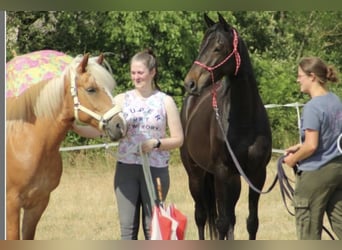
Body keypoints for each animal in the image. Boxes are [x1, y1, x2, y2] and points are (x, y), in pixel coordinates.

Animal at [6, 52, 127, 240]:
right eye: (91, 89)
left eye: (110, 88)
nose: (120, 126)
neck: (25, 139)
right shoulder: (11, 204)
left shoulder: (38, 203)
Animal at [180, 12, 272, 239]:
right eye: (201, 46)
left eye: (218, 47)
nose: (190, 83)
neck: (245, 120)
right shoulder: (224, 172)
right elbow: (221, 223)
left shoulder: (257, 174)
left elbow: (251, 222)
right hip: (196, 175)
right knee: (202, 216)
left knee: (229, 218)